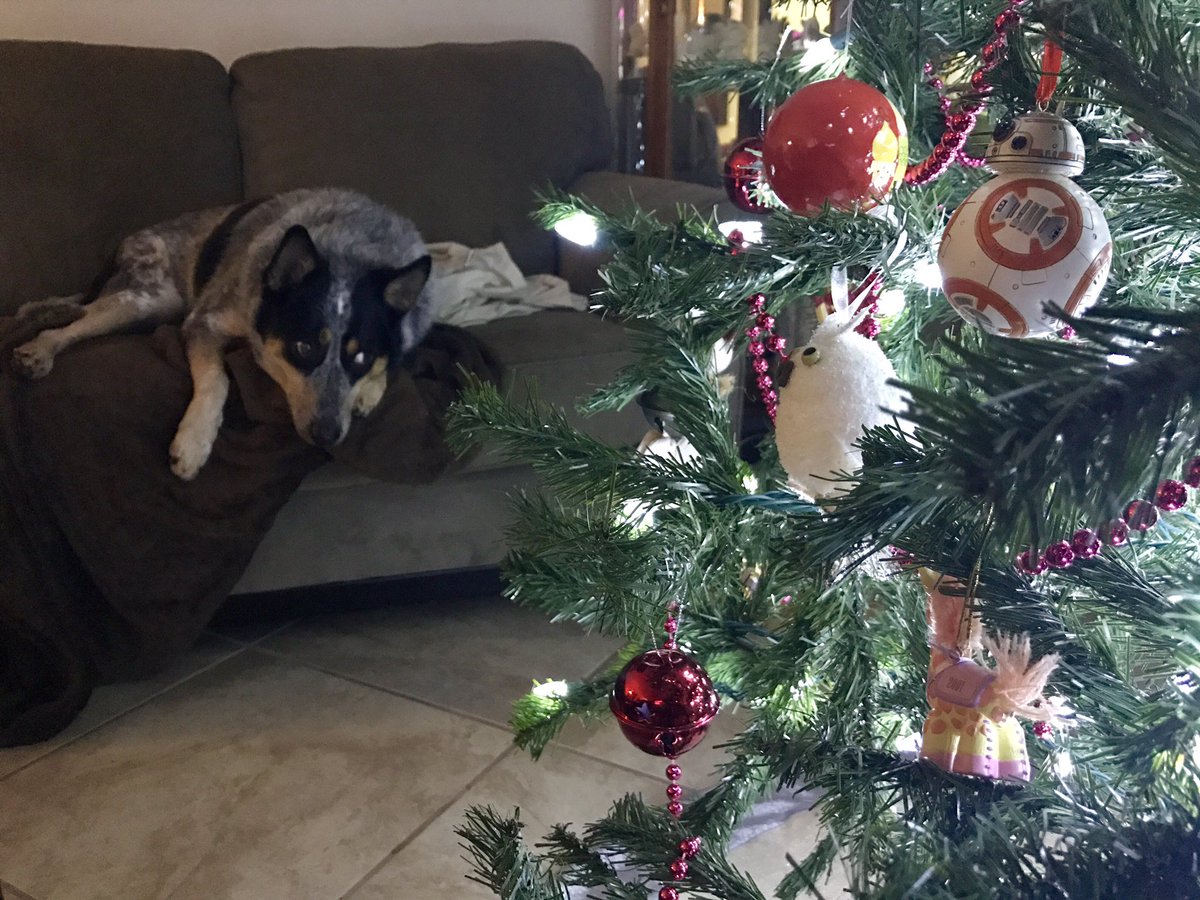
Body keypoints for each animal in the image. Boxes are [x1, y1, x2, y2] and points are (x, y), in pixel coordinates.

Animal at [12, 188, 433, 480]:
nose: (328, 435)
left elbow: (395, 358)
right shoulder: (204, 322)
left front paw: (366, 392)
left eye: (360, 356)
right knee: (77, 319)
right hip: (147, 298)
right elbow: (217, 380)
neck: (349, 249)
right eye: (303, 347)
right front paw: (192, 444)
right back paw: (39, 348)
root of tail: (128, 240)